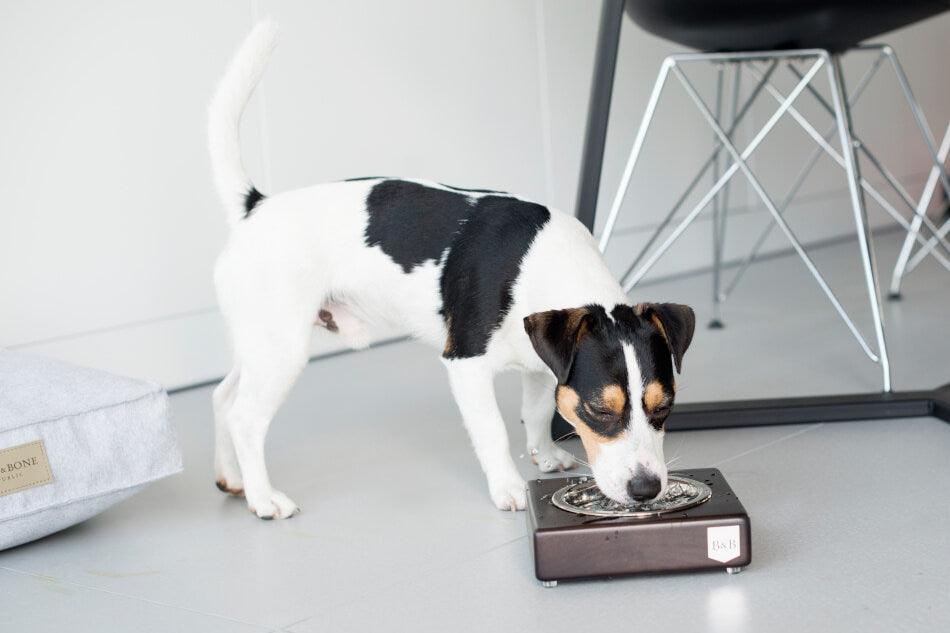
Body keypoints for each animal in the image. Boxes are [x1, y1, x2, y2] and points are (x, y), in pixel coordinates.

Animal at [210, 22, 700, 520]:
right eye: (600, 410)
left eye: (664, 407)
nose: (646, 489)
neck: (541, 262)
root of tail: (255, 207)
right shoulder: (466, 365)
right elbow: (494, 432)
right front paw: (508, 486)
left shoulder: (543, 364)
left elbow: (537, 410)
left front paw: (544, 454)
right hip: (281, 349)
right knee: (245, 418)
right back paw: (263, 497)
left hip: (259, 346)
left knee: (223, 398)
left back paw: (233, 478)